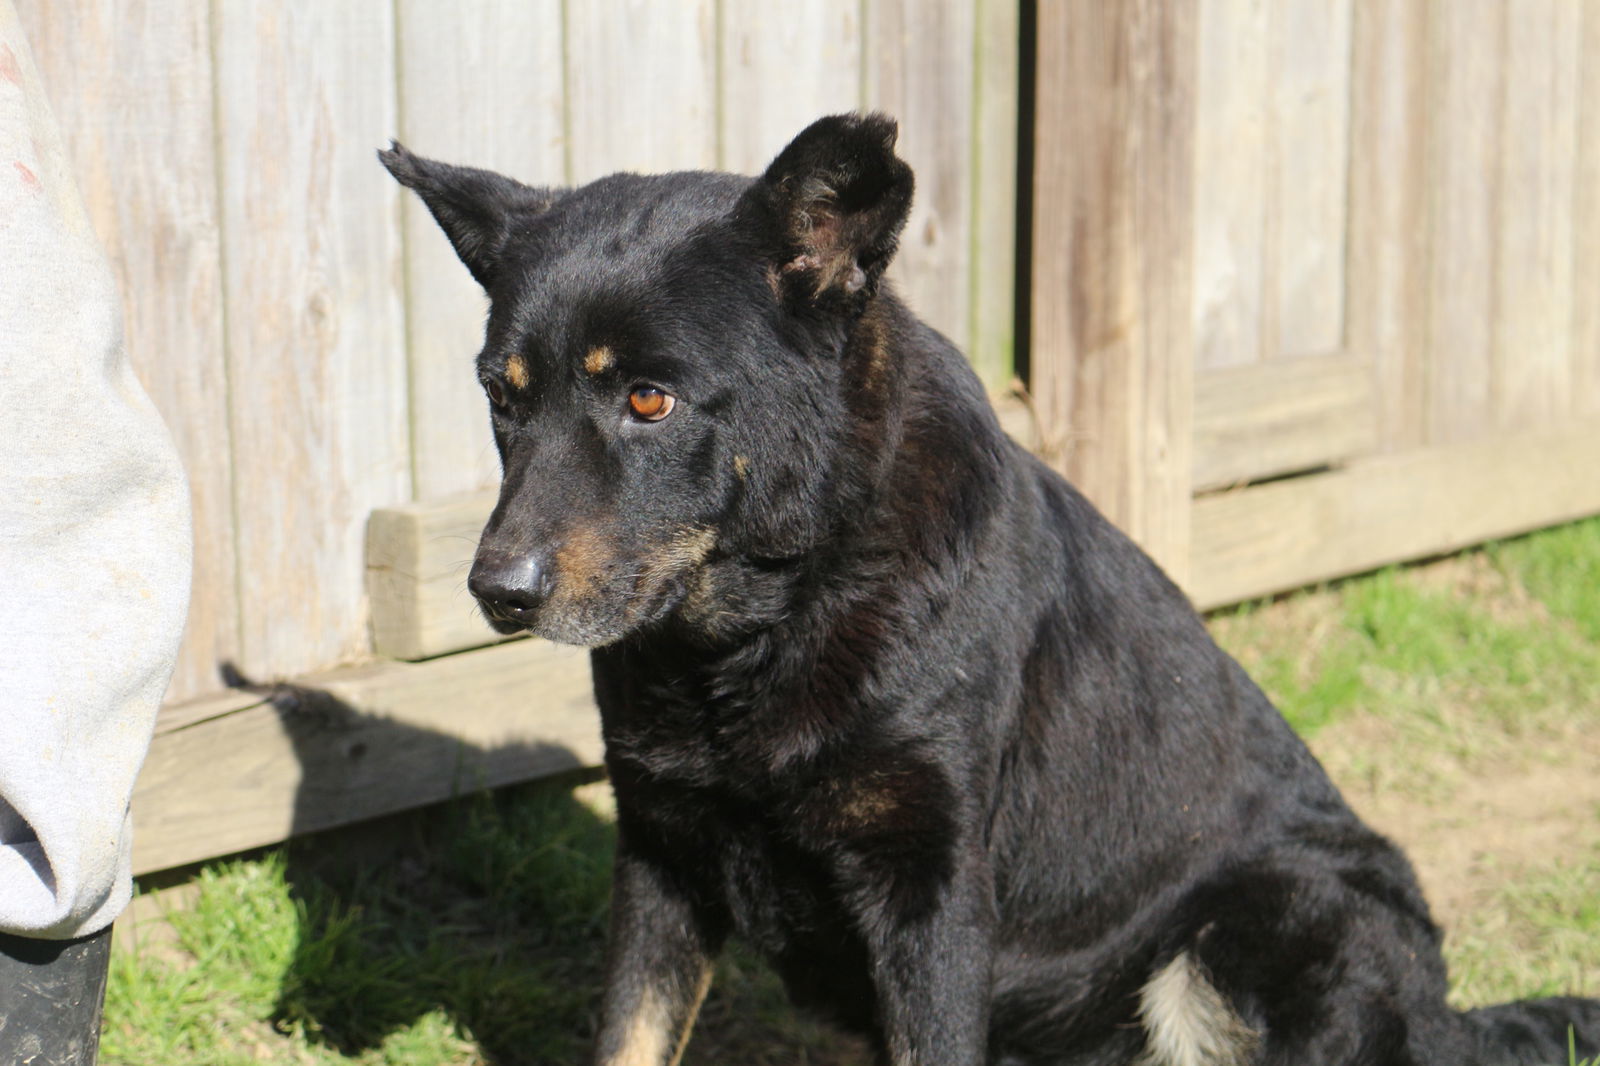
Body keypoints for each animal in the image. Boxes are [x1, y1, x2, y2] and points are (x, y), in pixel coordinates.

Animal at [384, 114, 1600, 1062]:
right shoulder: (662, 857)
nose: (496, 590)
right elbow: (630, 1036)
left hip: (1266, 922)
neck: (768, 625)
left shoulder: (932, 895)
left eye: (648, 399)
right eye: (503, 397)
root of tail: (1452, 1025)